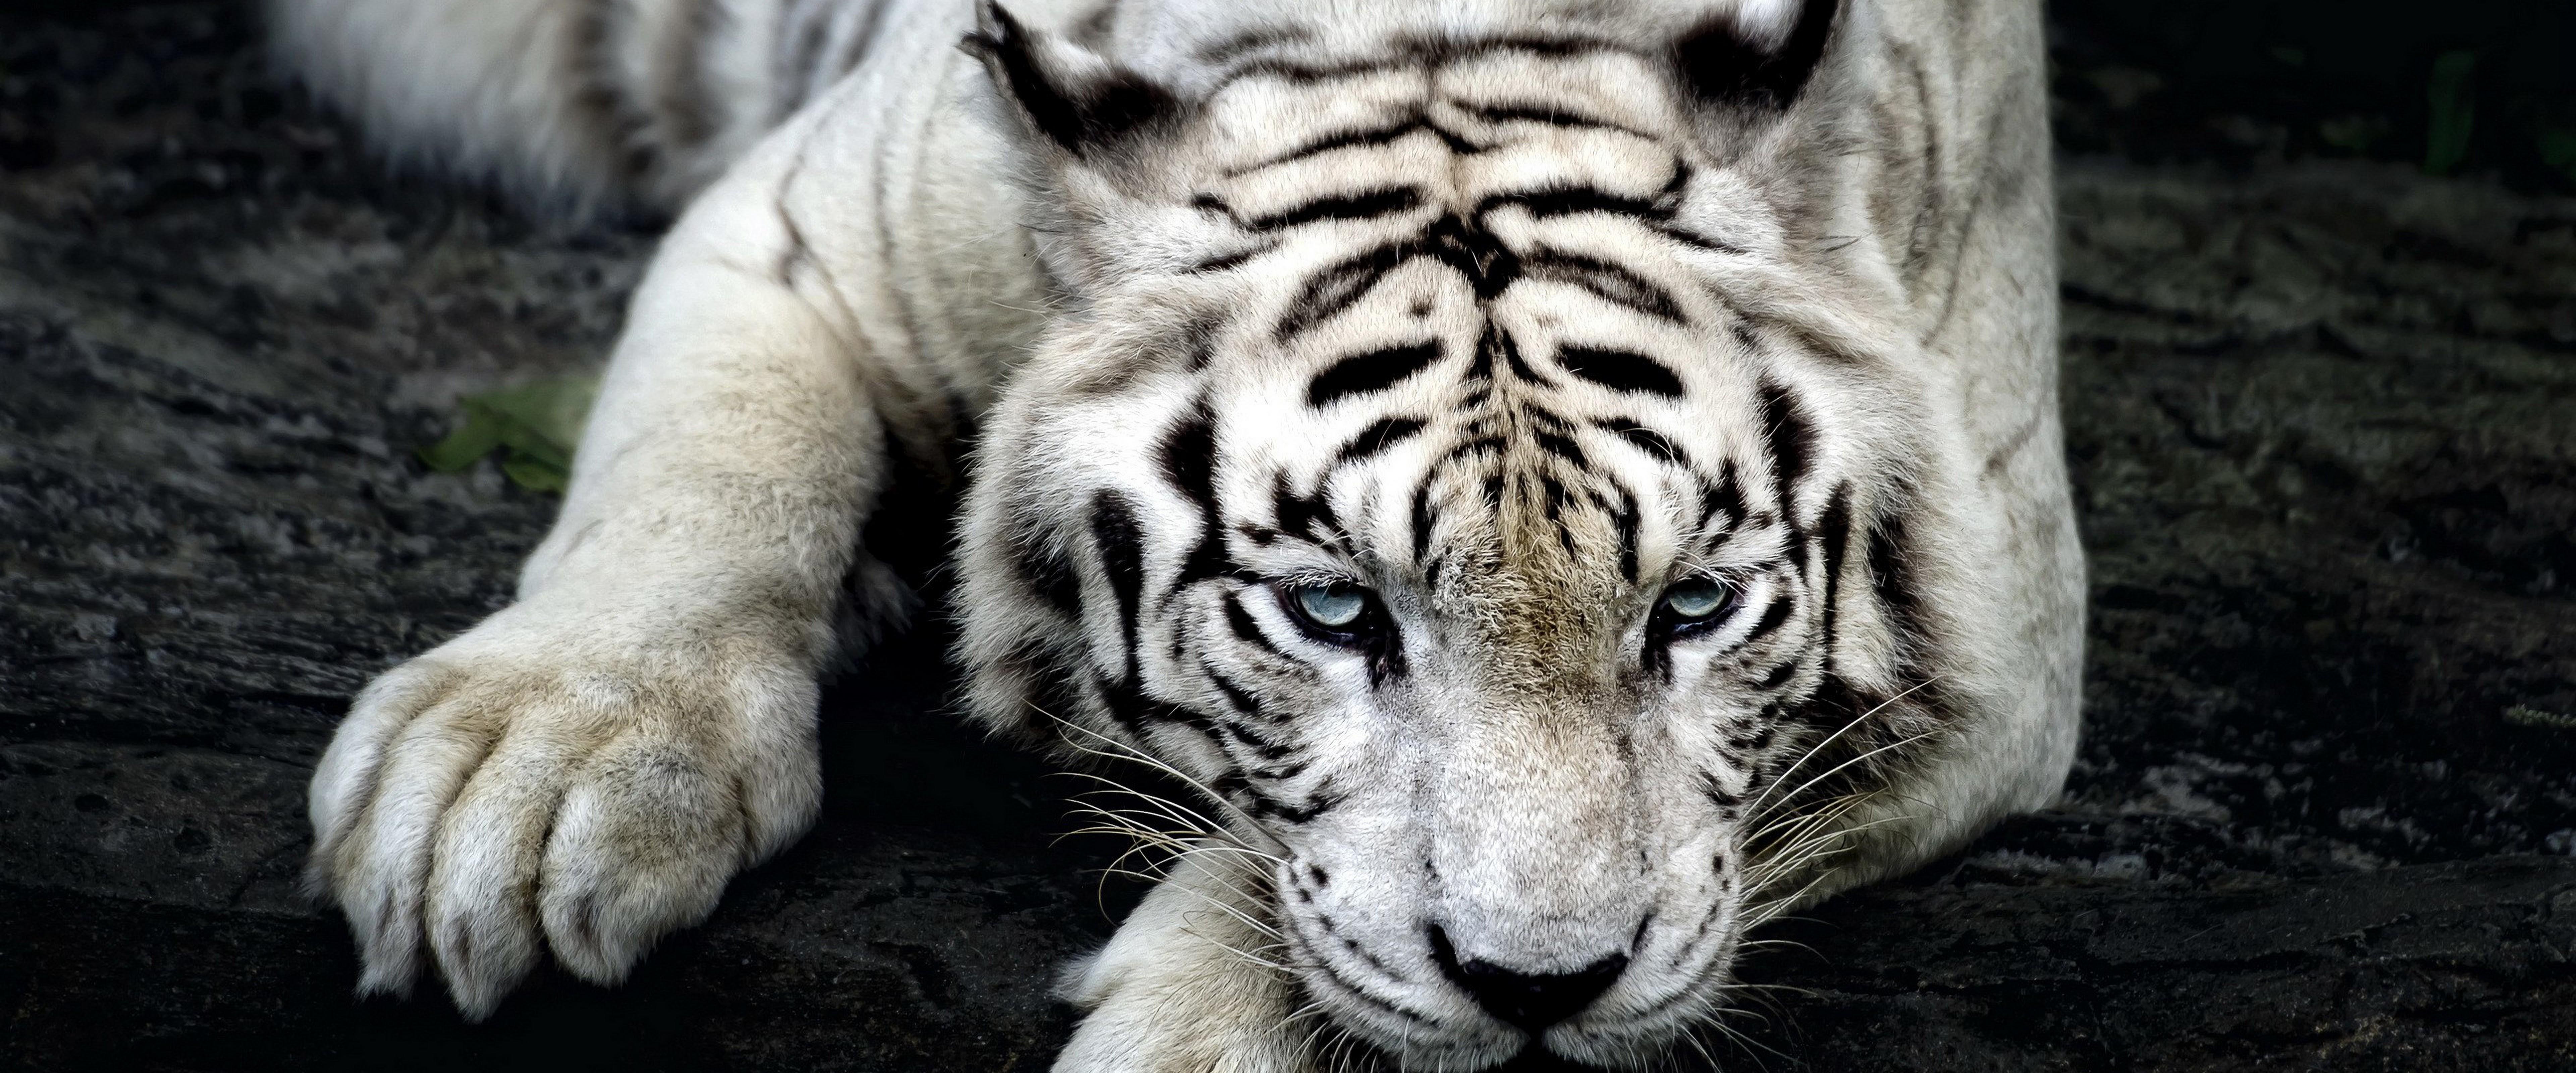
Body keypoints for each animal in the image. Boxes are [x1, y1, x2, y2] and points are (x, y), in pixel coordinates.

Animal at [273, 0, 2082, 1067]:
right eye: (1334, 612)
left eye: (1694, 607)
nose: (1544, 992)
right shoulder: (803, 227)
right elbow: (698, 481)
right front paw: (518, 784)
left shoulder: (1998, 639)